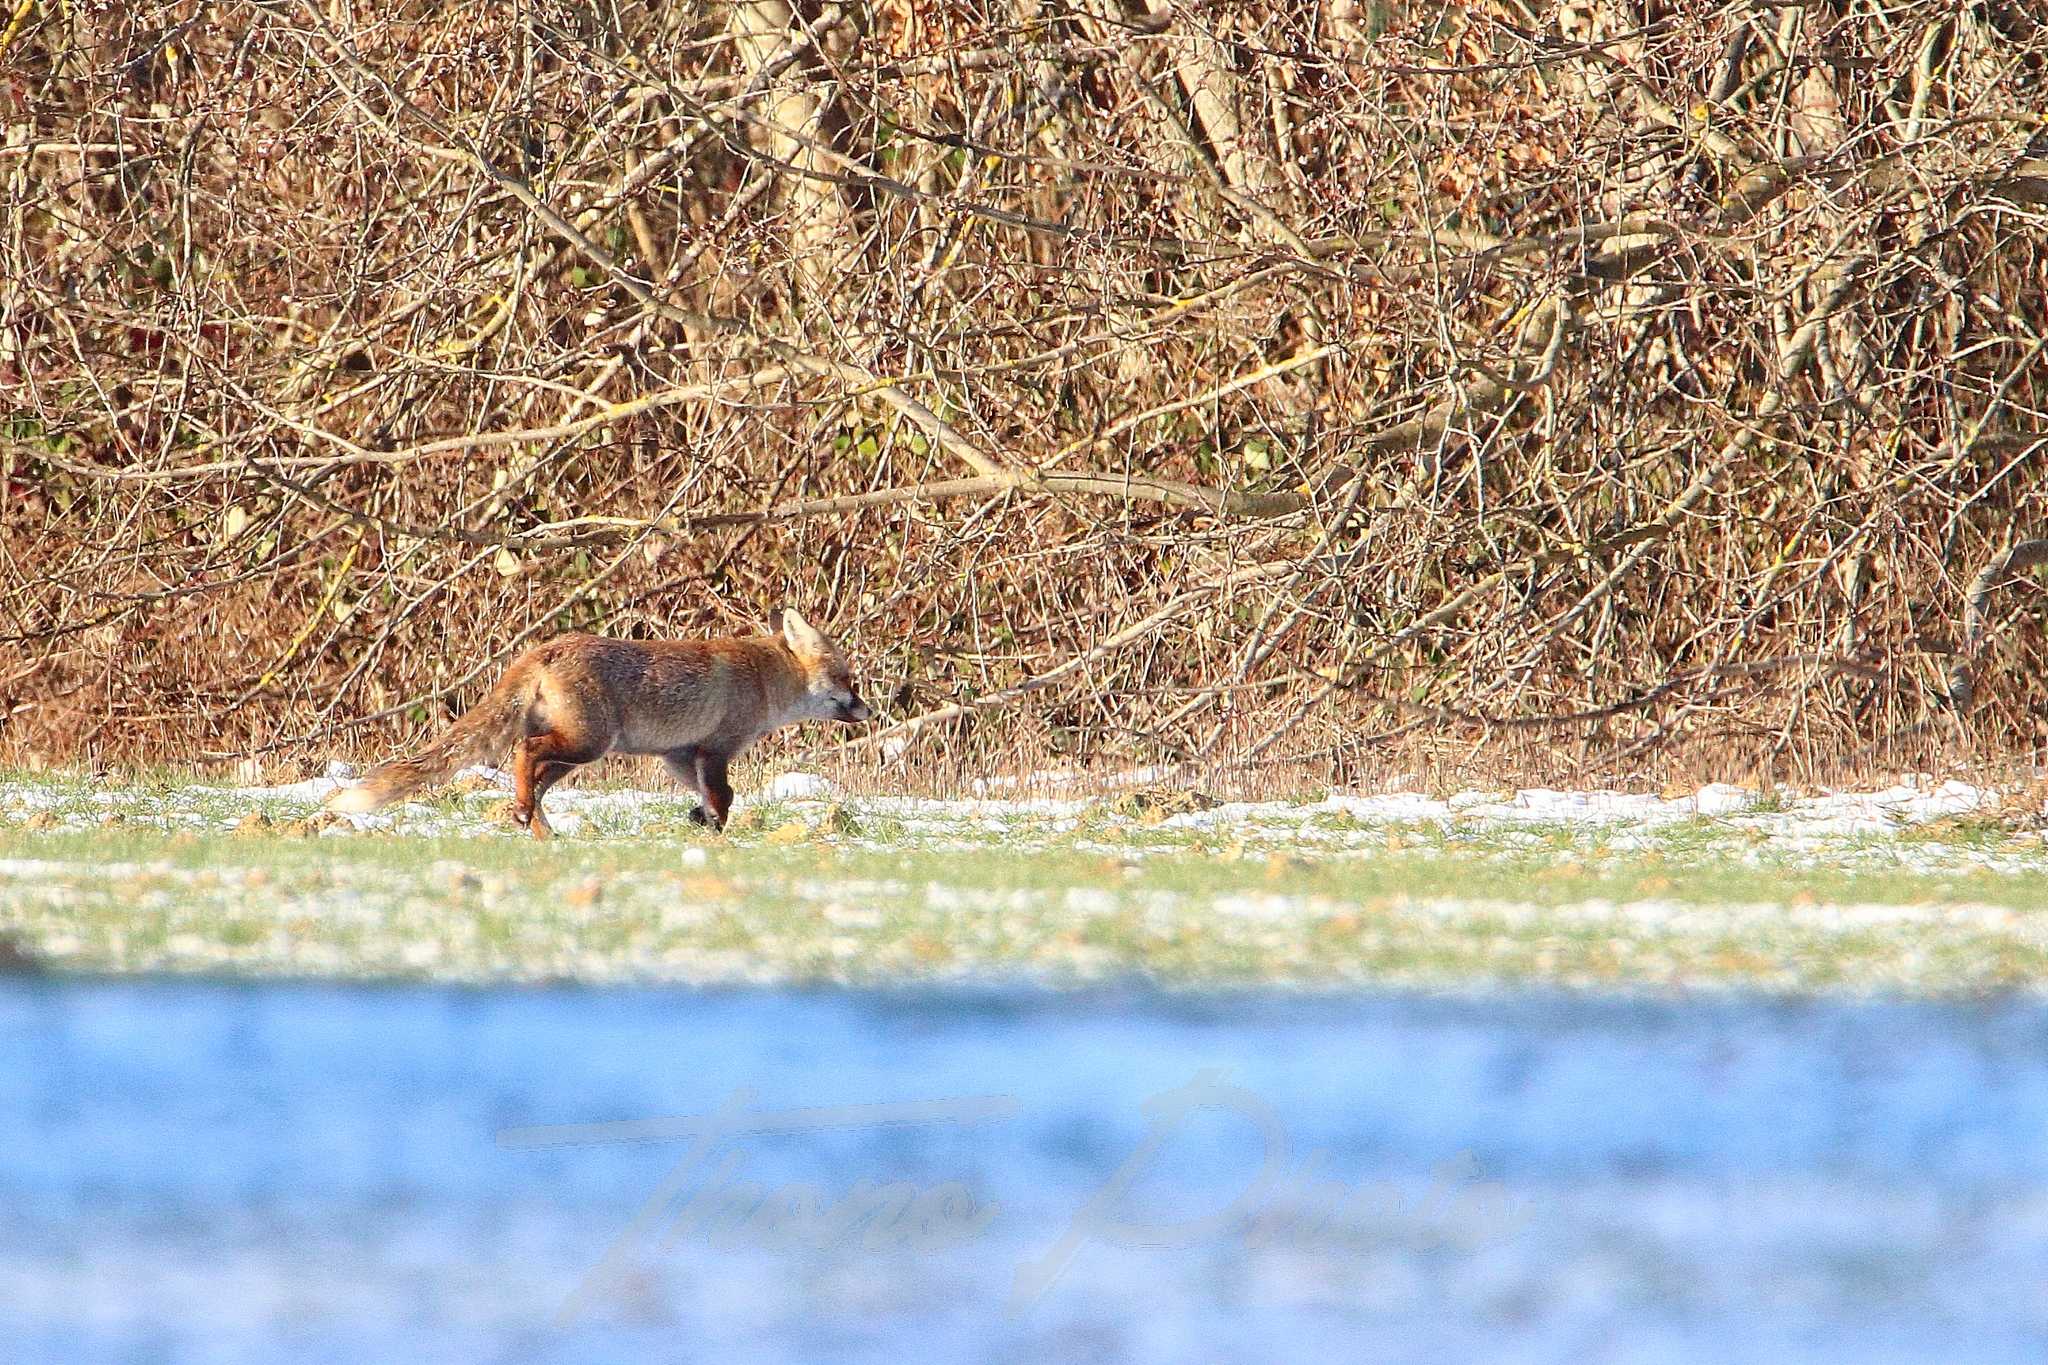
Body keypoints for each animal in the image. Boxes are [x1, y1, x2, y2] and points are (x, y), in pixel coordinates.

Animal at [323, 609, 868, 834]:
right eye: (848, 678)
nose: (870, 711)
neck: (763, 678)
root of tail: (544, 649)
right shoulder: (716, 749)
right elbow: (725, 796)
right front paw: (718, 832)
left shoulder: (678, 755)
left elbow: (705, 795)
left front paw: (701, 822)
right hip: (586, 743)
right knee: (524, 755)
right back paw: (527, 817)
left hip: (576, 754)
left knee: (535, 782)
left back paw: (539, 831)